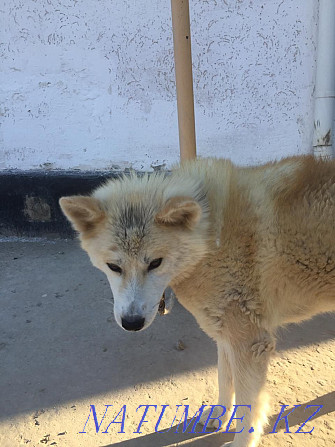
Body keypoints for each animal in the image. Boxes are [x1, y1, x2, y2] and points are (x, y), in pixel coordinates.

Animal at [59, 155, 335, 447]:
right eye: (113, 266)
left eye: (155, 263)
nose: (132, 323)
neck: (211, 235)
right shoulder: (226, 335)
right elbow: (225, 381)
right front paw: (220, 415)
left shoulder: (249, 343)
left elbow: (249, 408)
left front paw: (241, 441)